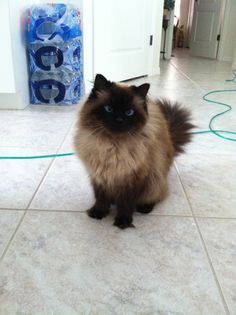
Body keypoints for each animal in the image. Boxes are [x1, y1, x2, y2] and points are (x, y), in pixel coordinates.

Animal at [74, 75, 194, 231]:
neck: (112, 147)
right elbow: (101, 199)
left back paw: (144, 208)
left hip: (154, 179)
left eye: (129, 112)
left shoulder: (133, 180)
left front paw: (123, 221)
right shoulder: (100, 177)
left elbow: (126, 204)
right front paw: (98, 213)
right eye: (109, 109)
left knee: (157, 195)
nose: (119, 119)